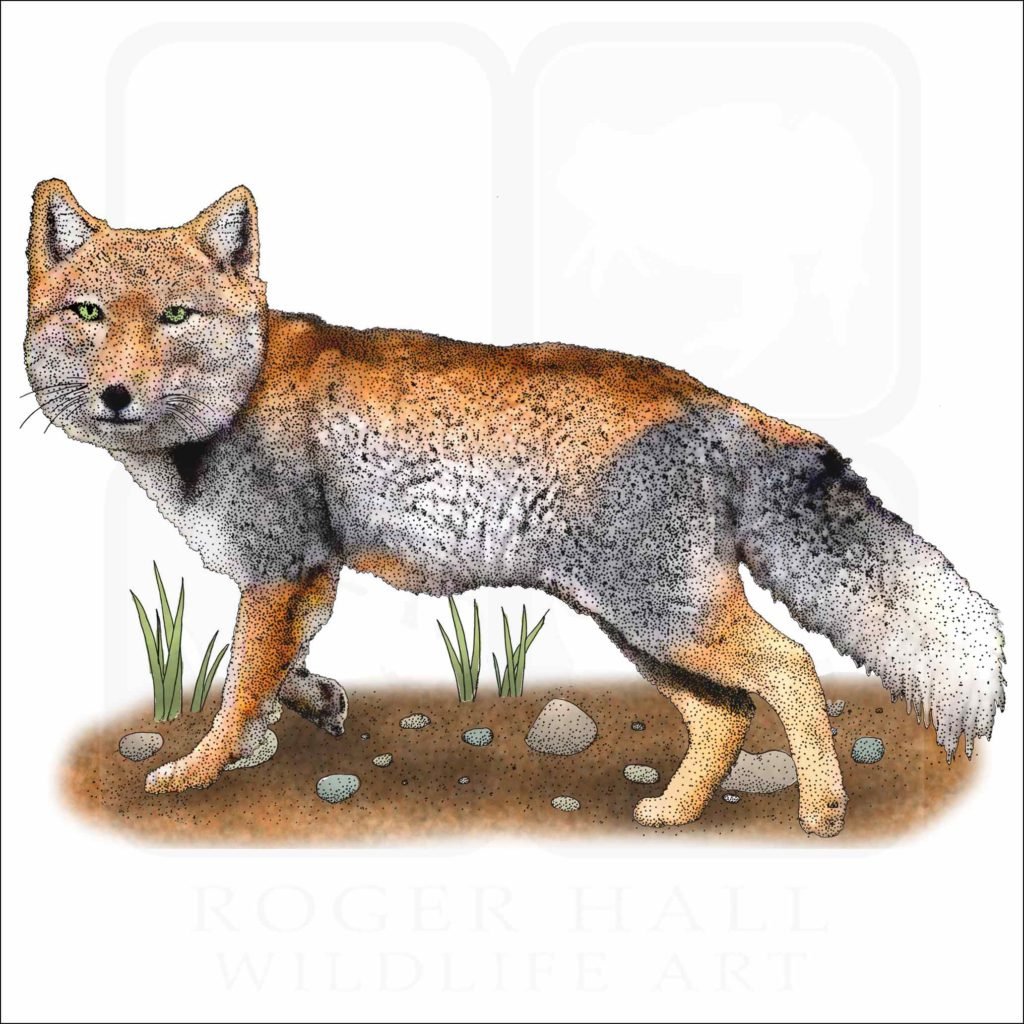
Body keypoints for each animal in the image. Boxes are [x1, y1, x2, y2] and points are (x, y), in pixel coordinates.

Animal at [23, 179, 1006, 837]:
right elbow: (277, 674)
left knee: (793, 667)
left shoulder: (278, 569)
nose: (116, 395)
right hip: (641, 628)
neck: (237, 395)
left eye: (175, 318)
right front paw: (305, 712)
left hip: (666, 618)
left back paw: (823, 809)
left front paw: (196, 770)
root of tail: (705, 394)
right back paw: (675, 812)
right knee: (726, 715)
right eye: (89, 314)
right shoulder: (308, 576)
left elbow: (234, 688)